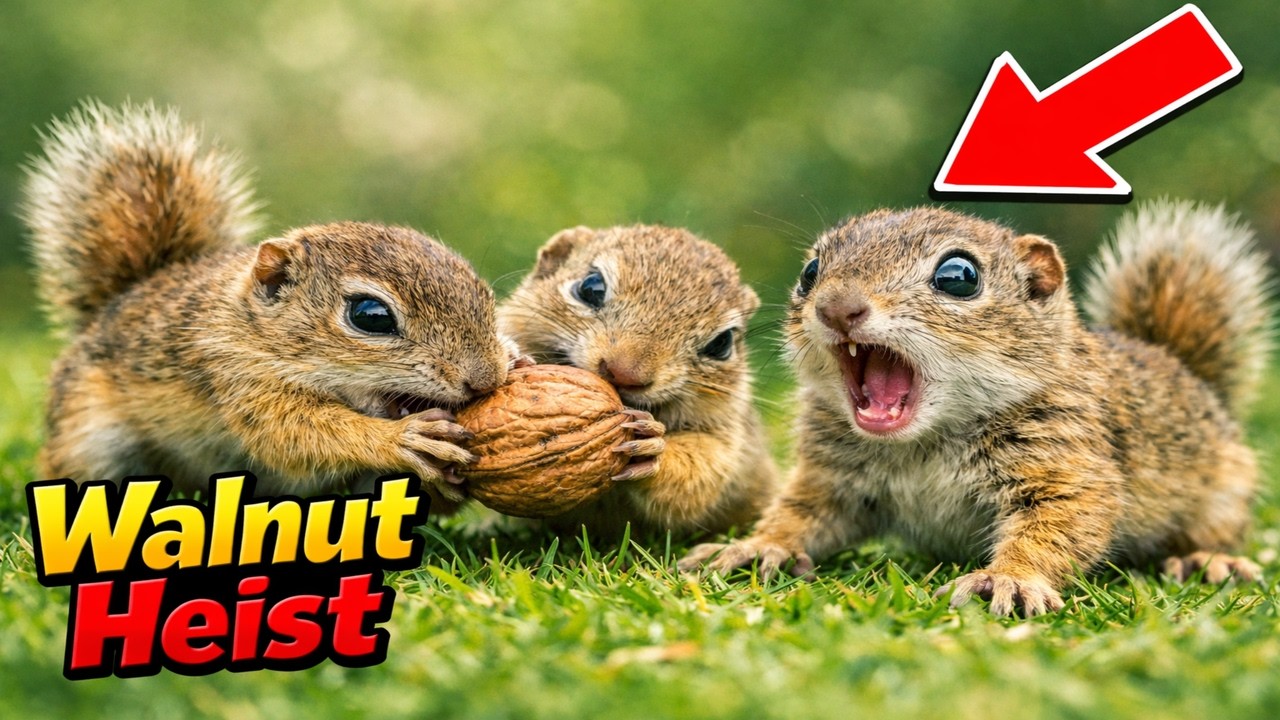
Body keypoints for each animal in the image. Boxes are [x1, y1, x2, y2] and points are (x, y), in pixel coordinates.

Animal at [21, 100, 513, 509]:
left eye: (482, 292)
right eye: (370, 316)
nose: (484, 379)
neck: (254, 327)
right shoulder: (236, 376)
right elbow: (297, 437)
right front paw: (402, 440)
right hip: (87, 436)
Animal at [497, 225, 777, 536]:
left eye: (722, 343)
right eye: (591, 287)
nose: (624, 372)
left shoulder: (725, 434)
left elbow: (699, 476)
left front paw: (653, 450)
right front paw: (512, 359)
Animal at [679, 203, 1271, 616]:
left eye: (958, 276)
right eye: (810, 270)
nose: (836, 307)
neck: (923, 440)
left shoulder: (1064, 461)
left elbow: (1059, 523)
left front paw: (1010, 578)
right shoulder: (832, 478)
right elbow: (801, 513)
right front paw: (757, 546)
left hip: (1220, 492)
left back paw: (1209, 558)